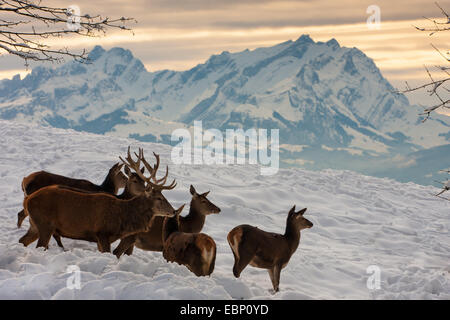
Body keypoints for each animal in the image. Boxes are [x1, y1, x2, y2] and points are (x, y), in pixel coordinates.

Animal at [19, 149, 181, 252]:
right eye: (159, 198)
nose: (173, 211)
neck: (123, 217)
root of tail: (27, 200)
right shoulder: (102, 233)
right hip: (45, 224)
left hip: (35, 225)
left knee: (23, 240)